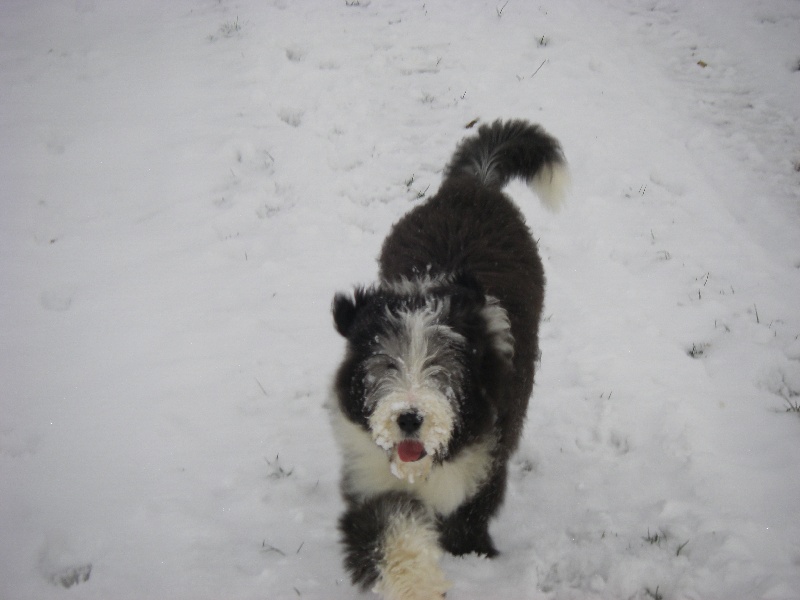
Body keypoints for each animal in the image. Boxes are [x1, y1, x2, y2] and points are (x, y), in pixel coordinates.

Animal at [330, 119, 568, 596]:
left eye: (443, 369)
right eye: (384, 365)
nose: (409, 418)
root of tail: (473, 185)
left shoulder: (484, 458)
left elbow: (467, 519)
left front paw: (472, 556)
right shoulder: (369, 474)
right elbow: (388, 528)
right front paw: (418, 585)